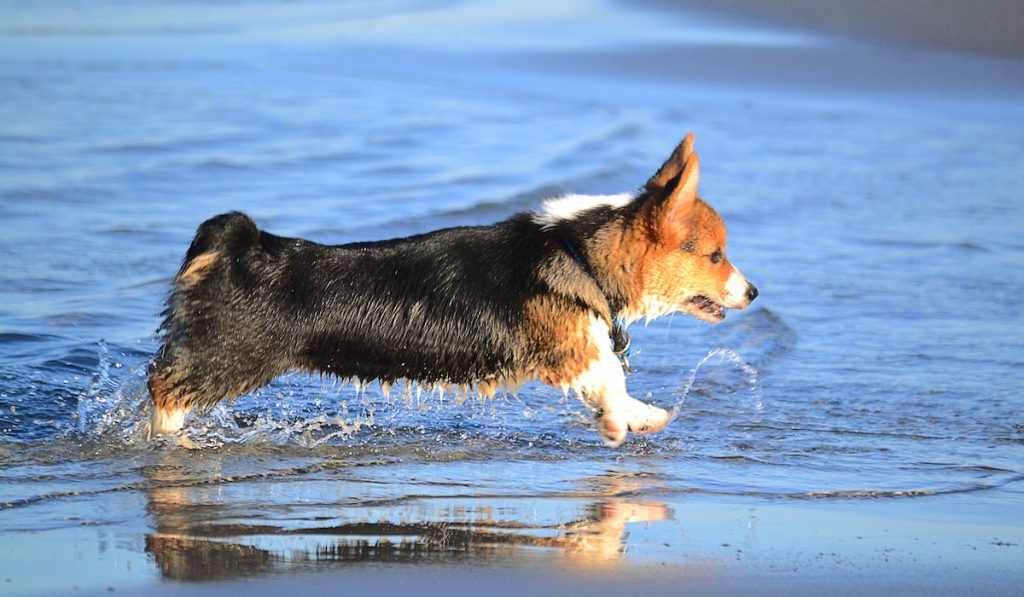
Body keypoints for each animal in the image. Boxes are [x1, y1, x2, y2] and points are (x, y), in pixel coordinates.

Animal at [149, 134, 761, 444]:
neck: (578, 253)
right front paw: (621, 421)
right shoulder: (567, 347)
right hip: (231, 358)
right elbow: (609, 374)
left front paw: (640, 416)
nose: (753, 292)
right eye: (715, 255)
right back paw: (166, 441)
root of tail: (243, 245)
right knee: (164, 388)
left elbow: (614, 385)